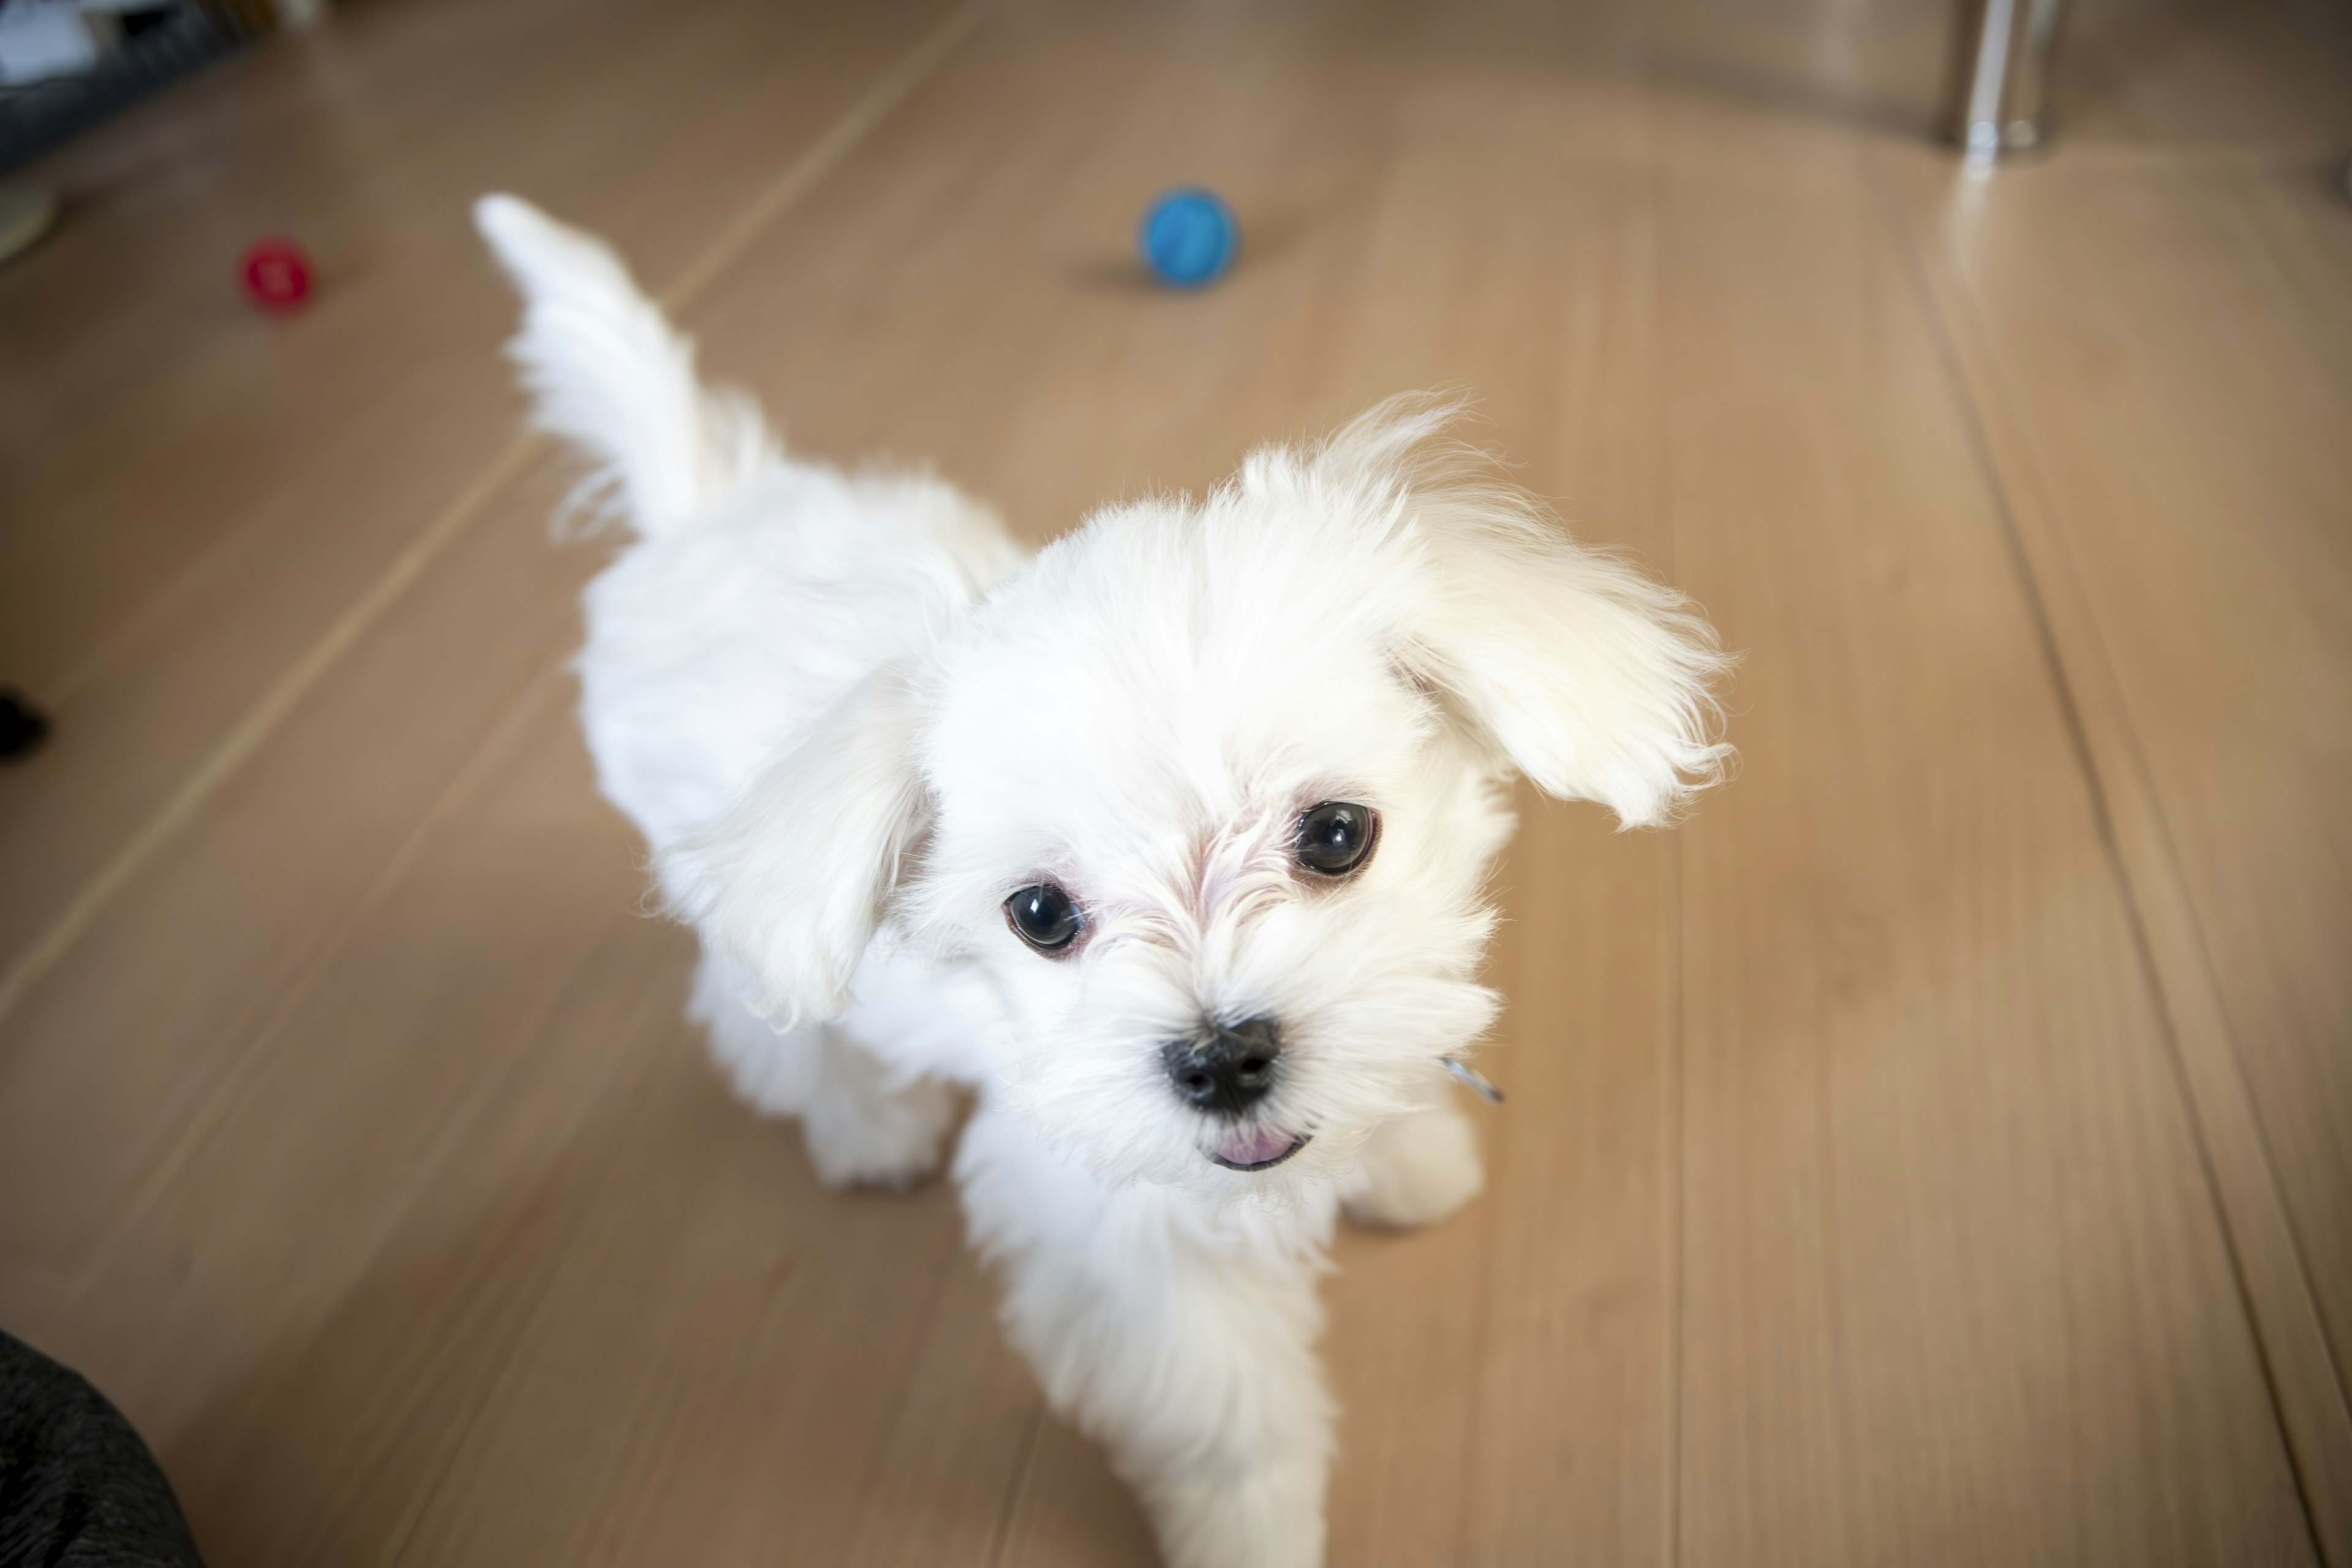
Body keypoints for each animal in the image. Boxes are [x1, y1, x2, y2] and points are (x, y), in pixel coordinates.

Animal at [477, 192, 1731, 1568]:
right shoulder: (1130, 1253)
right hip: (752, 918)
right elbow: (1229, 1418)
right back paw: (864, 1127)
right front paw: (1257, 1536)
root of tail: (703, 510)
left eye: (1336, 835)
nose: (1222, 1058)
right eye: (1041, 916)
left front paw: (1409, 1157)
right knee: (763, 1017)